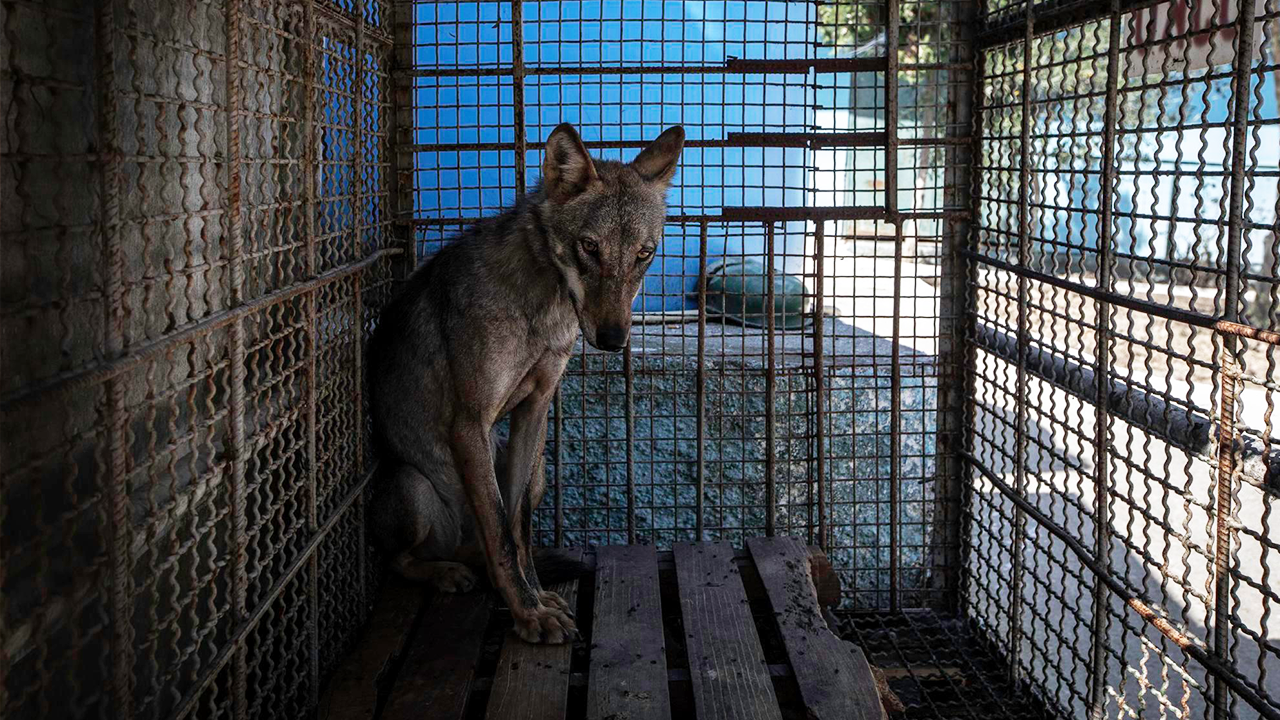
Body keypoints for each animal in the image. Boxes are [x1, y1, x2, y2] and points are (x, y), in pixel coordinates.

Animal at [366, 120, 686, 640]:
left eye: (644, 253)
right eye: (589, 246)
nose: (613, 339)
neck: (543, 309)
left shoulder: (534, 410)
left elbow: (518, 528)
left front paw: (535, 597)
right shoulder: (470, 424)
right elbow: (499, 530)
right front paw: (528, 614)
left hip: (530, 470)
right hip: (412, 486)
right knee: (402, 559)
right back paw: (446, 572)